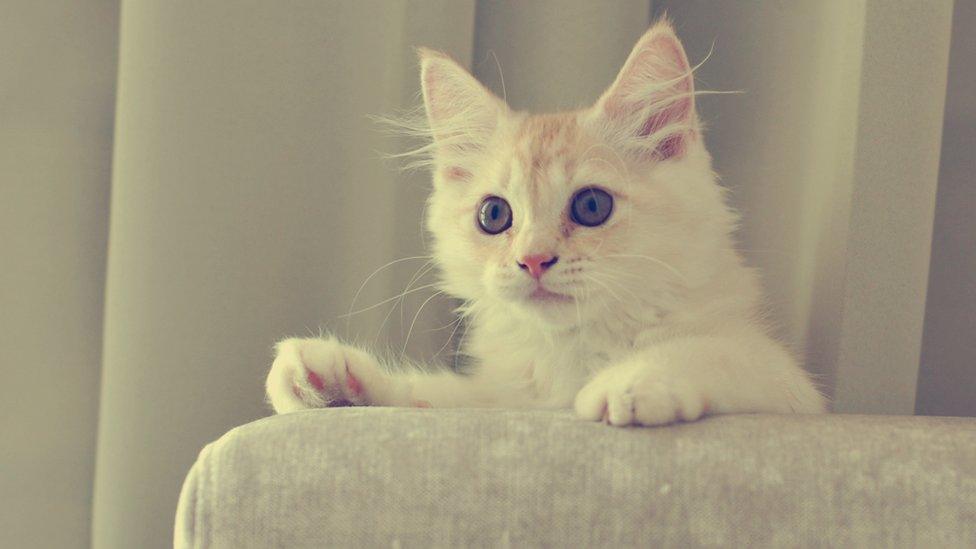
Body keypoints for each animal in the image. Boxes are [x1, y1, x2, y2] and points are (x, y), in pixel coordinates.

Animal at [264, 20, 824, 424]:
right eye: (494, 216)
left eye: (592, 207)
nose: (533, 260)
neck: (572, 353)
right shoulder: (505, 398)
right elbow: (432, 394)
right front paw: (322, 380)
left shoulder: (791, 387)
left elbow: (707, 352)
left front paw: (628, 382)